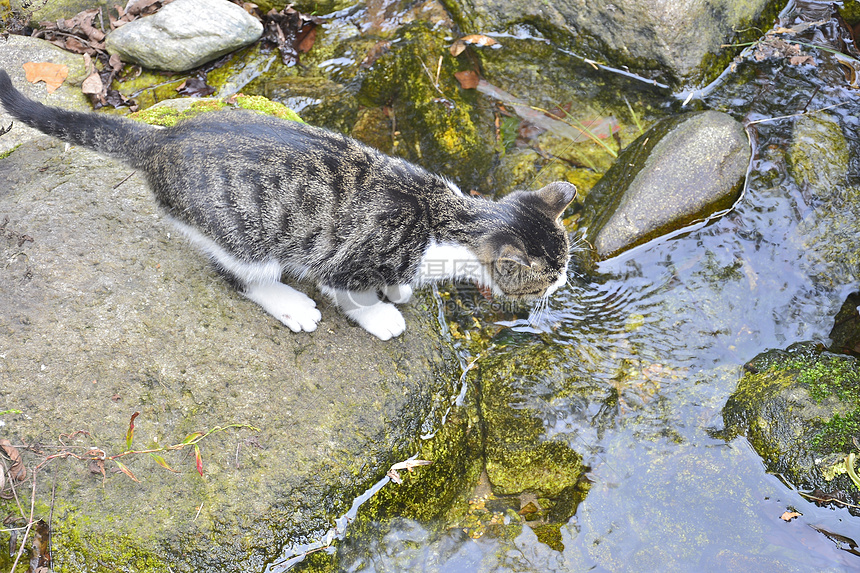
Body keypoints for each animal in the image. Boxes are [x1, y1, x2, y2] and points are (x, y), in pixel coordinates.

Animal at [3, 71, 576, 340]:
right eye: (550, 276)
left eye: (565, 265)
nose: (567, 283)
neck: (443, 216)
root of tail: (161, 141)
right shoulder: (348, 260)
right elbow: (352, 295)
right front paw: (380, 314)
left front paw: (400, 289)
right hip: (244, 236)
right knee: (240, 276)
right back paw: (289, 303)